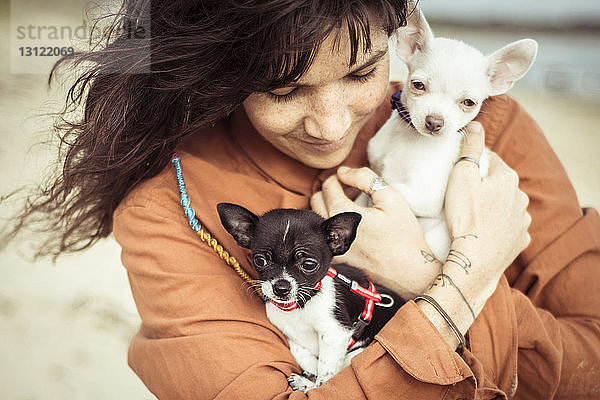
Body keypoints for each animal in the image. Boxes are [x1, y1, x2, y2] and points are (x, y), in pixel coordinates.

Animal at [218, 203, 406, 390]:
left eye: (309, 264)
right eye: (260, 261)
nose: (281, 287)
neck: (301, 305)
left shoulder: (335, 332)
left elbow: (326, 376)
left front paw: (313, 382)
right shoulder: (287, 329)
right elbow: (298, 351)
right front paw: (309, 370)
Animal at [368, 7, 536, 262]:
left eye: (469, 102)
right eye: (418, 85)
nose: (434, 122)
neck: (411, 139)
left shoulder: (423, 197)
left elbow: (388, 184)